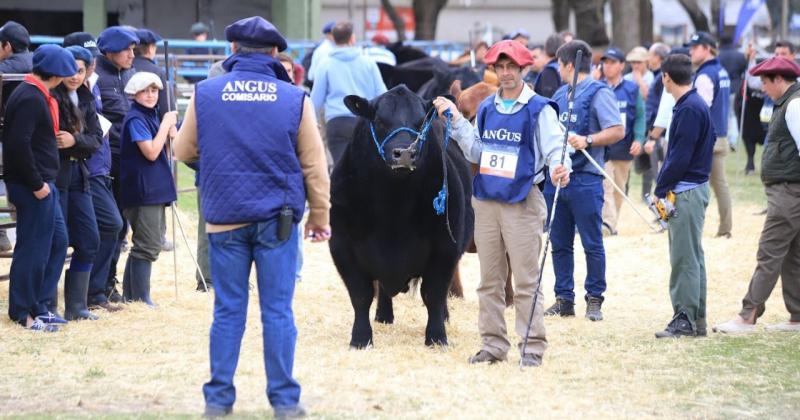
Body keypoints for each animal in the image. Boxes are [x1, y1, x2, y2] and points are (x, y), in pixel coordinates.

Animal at [328, 85, 472, 348]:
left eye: (421, 122)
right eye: (379, 120)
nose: (405, 153)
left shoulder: (445, 248)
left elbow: (434, 294)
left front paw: (437, 337)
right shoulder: (342, 246)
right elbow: (361, 295)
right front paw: (360, 339)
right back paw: (383, 316)